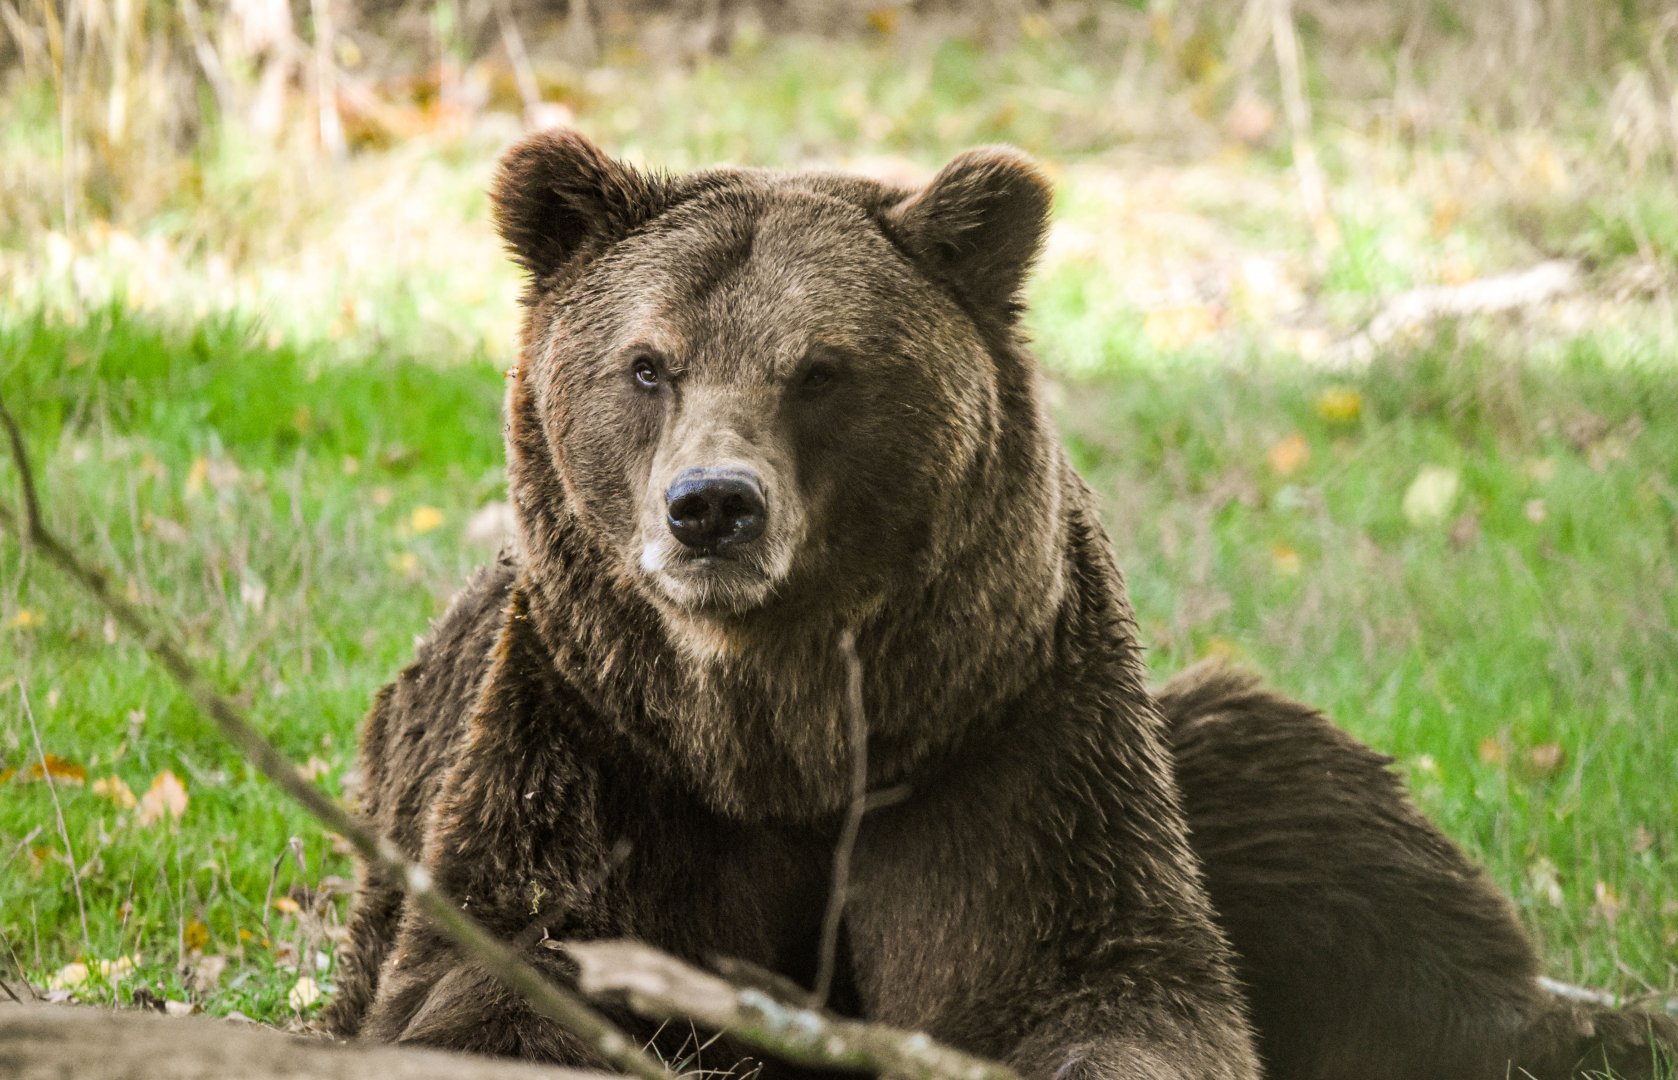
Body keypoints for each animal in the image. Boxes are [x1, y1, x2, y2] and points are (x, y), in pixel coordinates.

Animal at [321, 131, 1676, 1080]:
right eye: (647, 365)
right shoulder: (600, 759)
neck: (783, 739)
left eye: (820, 370)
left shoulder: (1002, 747)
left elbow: (1091, 980)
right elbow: (493, 988)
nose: (711, 508)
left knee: (1323, 818)